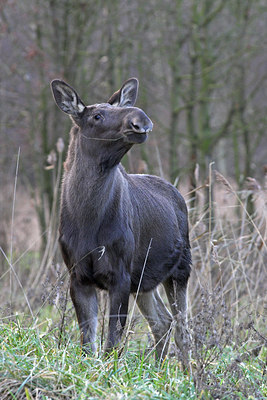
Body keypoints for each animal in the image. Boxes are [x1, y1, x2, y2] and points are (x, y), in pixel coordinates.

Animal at [50, 77, 193, 366]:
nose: (140, 120)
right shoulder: (78, 276)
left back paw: (188, 374)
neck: (87, 219)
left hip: (180, 269)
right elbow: (88, 343)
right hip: (145, 280)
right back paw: (159, 370)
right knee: (162, 322)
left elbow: (113, 342)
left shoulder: (120, 275)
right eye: (97, 116)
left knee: (182, 330)